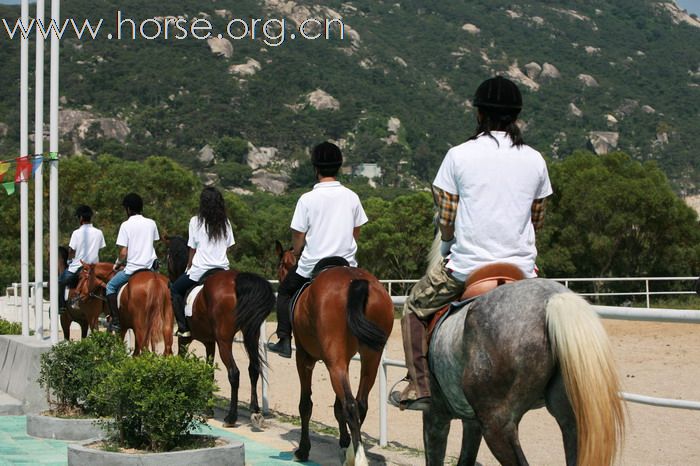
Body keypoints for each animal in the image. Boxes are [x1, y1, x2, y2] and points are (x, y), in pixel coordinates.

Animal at [165, 238, 274, 428]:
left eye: (168, 255)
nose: (169, 281)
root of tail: (237, 281)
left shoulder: (185, 340)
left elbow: (182, 362)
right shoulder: (210, 342)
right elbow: (209, 371)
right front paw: (208, 409)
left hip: (225, 340)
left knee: (234, 373)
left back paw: (231, 417)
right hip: (250, 335)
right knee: (253, 368)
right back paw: (255, 412)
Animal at [278, 246, 396, 464]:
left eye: (281, 264)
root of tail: (356, 281)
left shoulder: (304, 358)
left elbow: (306, 405)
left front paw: (303, 450)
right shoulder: (345, 359)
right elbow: (337, 407)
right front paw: (343, 442)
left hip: (334, 362)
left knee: (350, 405)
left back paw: (357, 457)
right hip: (370, 358)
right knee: (359, 403)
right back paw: (352, 450)